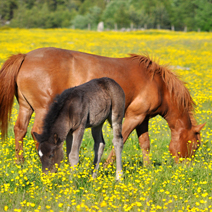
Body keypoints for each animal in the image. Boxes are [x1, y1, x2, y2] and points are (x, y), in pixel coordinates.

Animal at [0, 47, 205, 164]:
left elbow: (145, 144)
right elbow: (120, 141)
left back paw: (21, 162)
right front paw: (108, 166)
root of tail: (26, 56)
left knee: (20, 130)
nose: (185, 167)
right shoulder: (133, 116)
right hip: (43, 109)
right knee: (37, 133)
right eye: (195, 146)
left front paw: (146, 170)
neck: (158, 84)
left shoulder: (143, 119)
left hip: (26, 107)